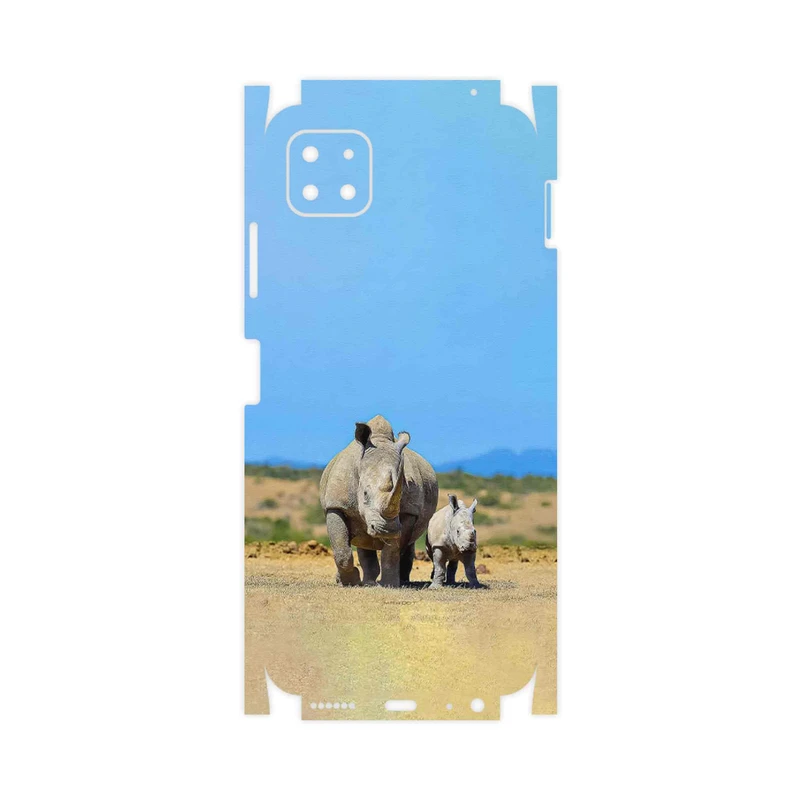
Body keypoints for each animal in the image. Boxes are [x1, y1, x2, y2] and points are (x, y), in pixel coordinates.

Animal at [319, 415, 439, 587]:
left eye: (400, 495)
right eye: (365, 494)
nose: (387, 530)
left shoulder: (408, 511)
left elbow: (392, 551)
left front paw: (390, 584)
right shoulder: (336, 505)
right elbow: (341, 550)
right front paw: (349, 582)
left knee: (407, 543)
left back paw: (400, 581)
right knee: (362, 540)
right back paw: (366, 582)